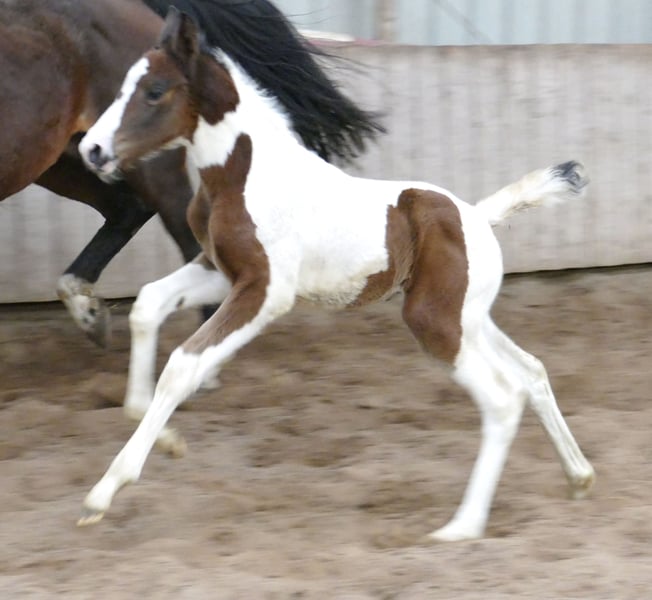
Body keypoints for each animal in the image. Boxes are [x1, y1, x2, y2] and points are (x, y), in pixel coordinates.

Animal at [76, 9, 595, 541]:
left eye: (155, 90)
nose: (92, 149)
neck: (246, 175)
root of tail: (477, 215)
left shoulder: (266, 291)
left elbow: (183, 364)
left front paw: (106, 490)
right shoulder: (223, 272)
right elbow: (148, 304)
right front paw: (165, 438)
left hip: (435, 323)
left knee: (503, 398)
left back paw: (462, 526)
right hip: (467, 320)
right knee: (531, 372)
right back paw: (578, 477)